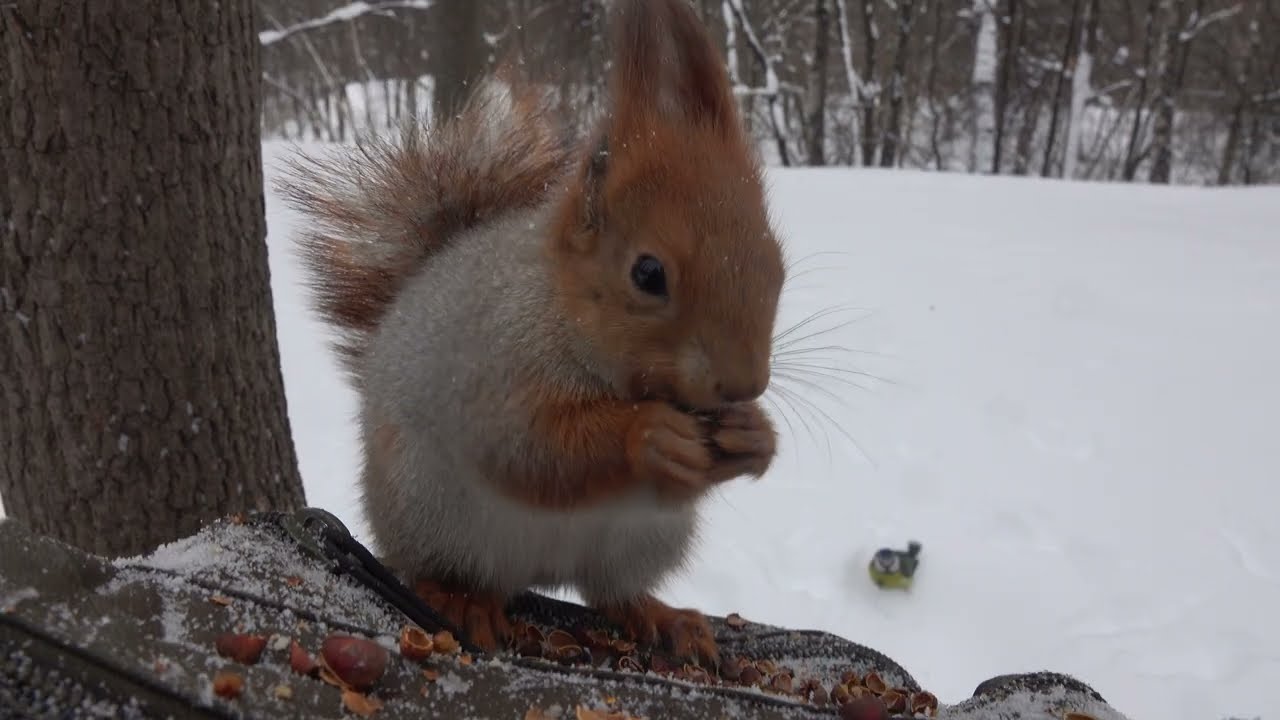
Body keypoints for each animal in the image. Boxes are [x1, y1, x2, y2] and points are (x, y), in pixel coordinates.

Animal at [276, 0, 783, 666]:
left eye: (776, 260)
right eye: (648, 274)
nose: (743, 385)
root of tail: (542, 571)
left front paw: (755, 436)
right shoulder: (493, 365)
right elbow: (529, 449)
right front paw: (650, 435)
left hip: (641, 541)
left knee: (610, 591)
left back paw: (662, 617)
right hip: (432, 511)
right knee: (448, 569)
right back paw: (461, 599)